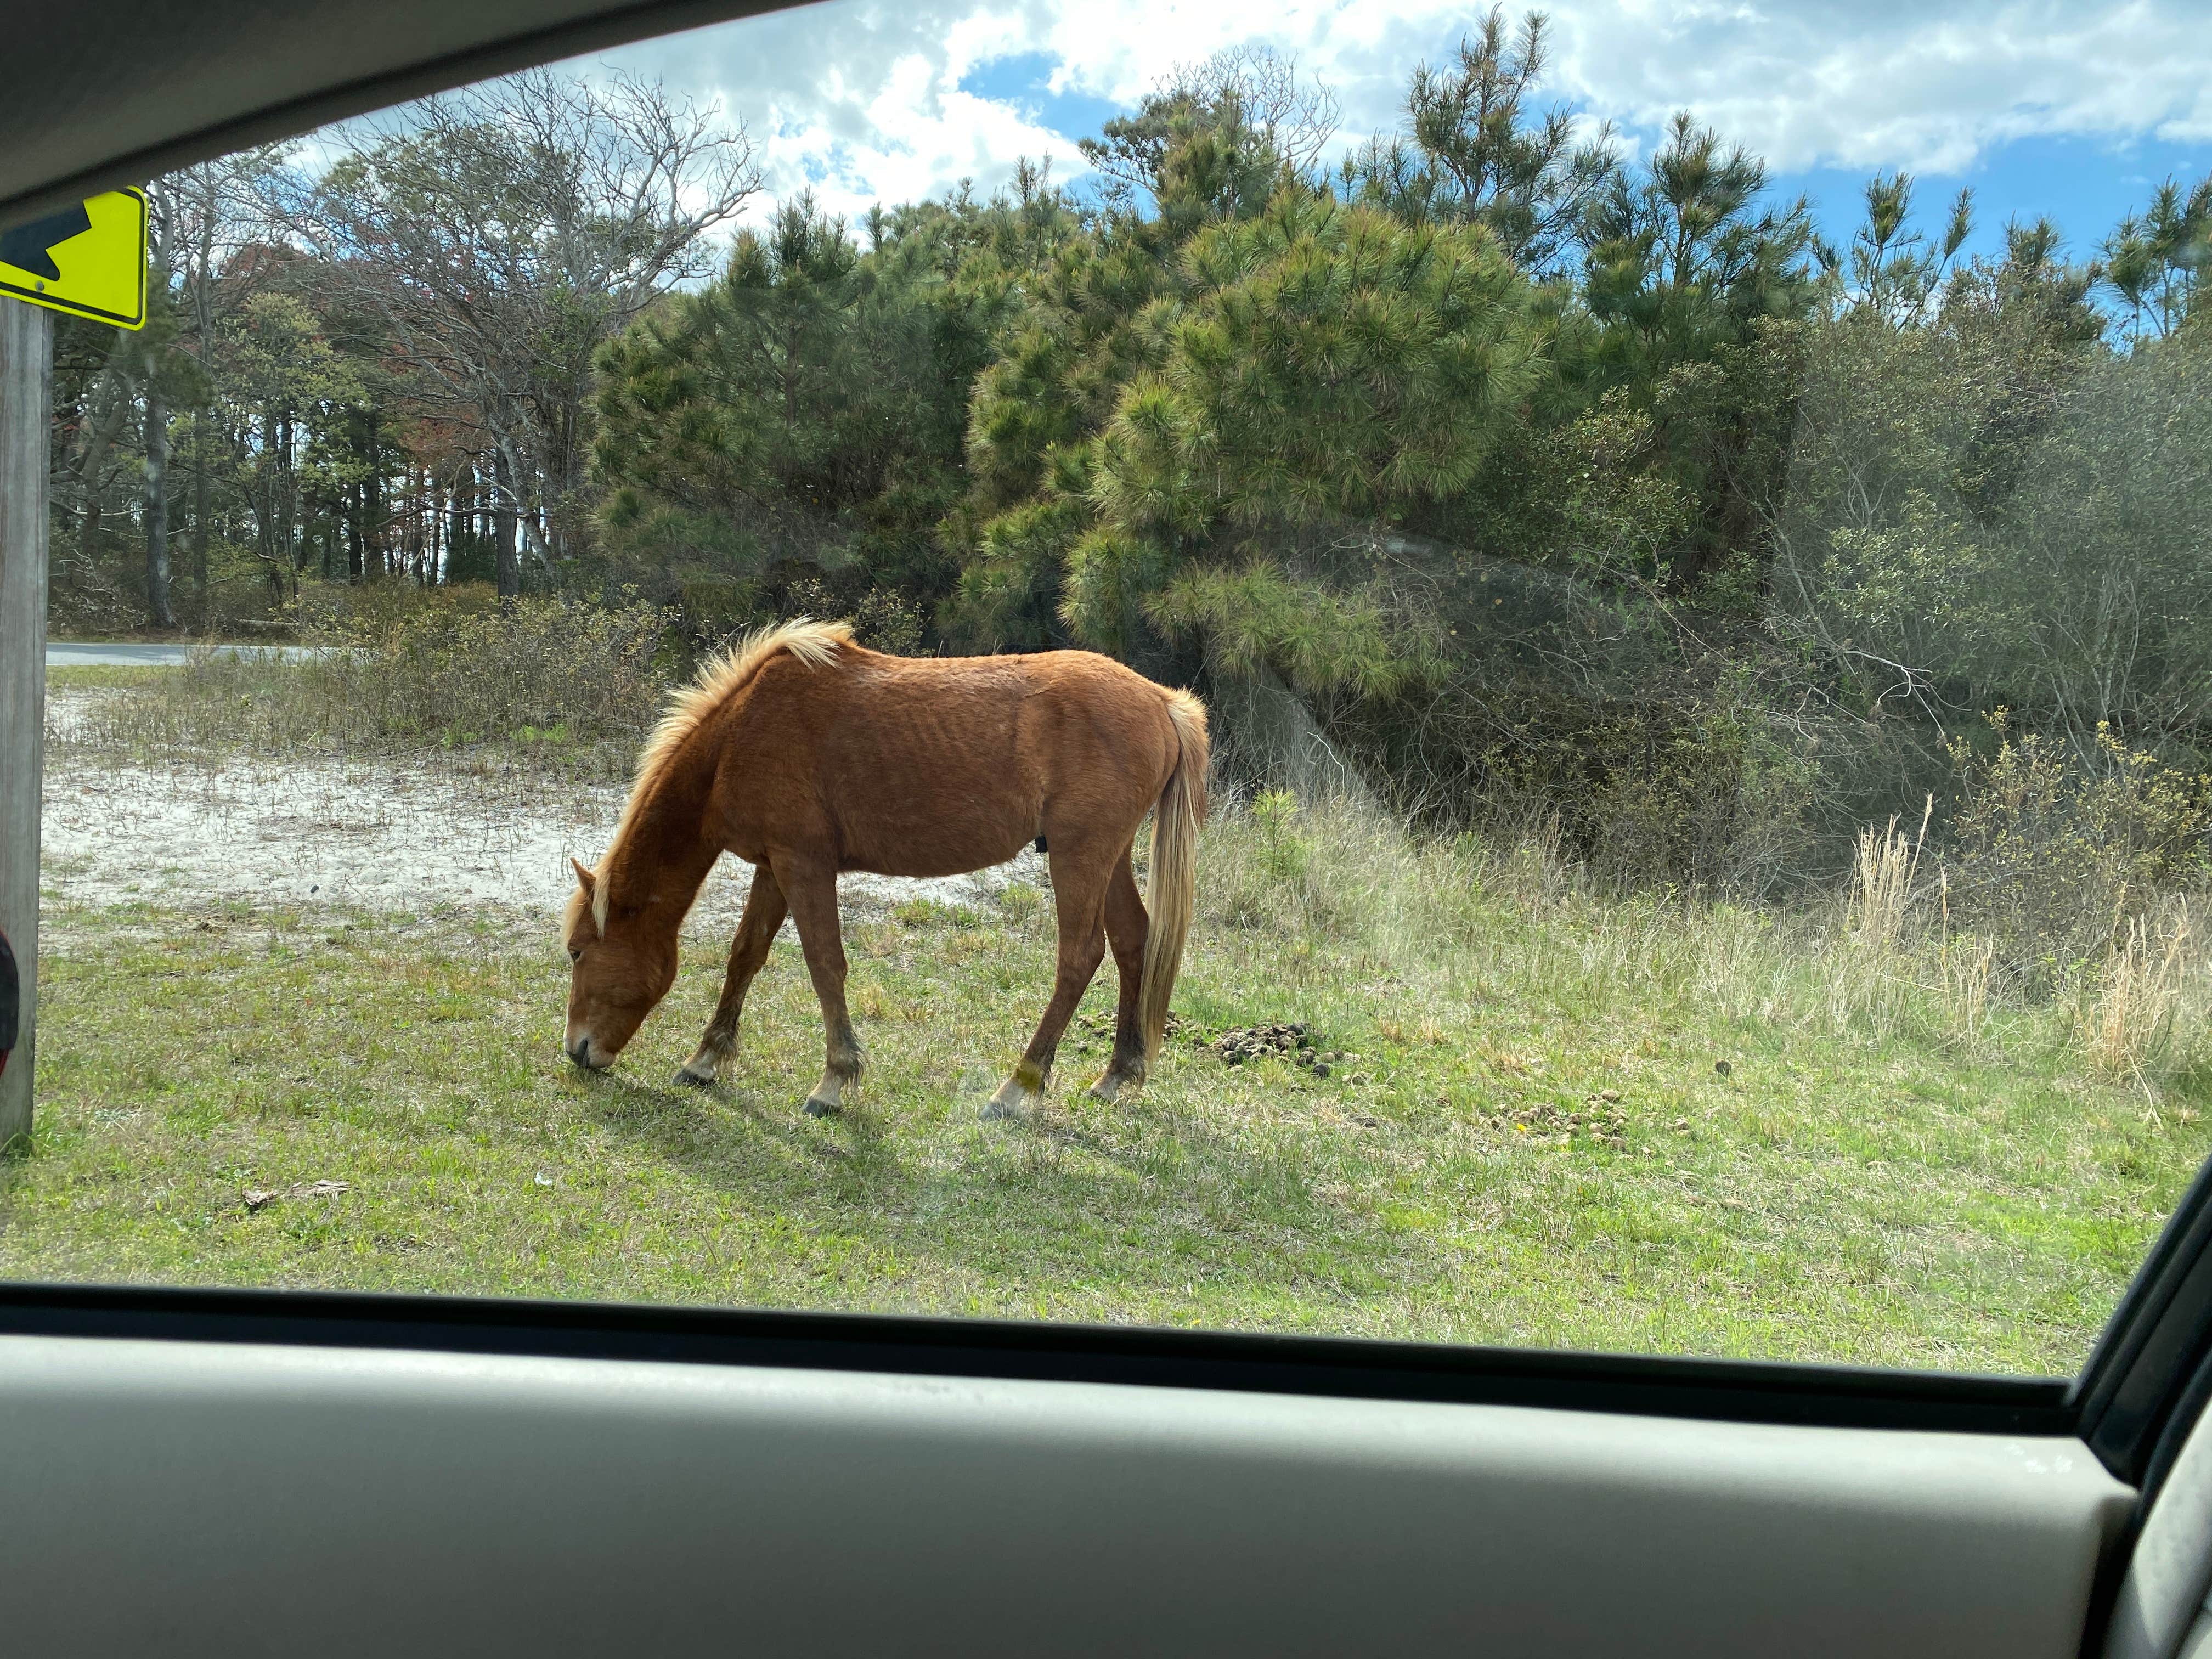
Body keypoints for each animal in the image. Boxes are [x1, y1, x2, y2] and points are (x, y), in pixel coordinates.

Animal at [562, 620, 1208, 1120]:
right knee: (1133, 942)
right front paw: (706, 1059)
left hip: (1081, 856)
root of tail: (1162, 702)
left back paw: (1017, 1087)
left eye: (575, 951)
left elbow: (825, 965)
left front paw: (834, 1080)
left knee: (1079, 959)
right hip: (1109, 857)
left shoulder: (804, 865)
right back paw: (1117, 1075)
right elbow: (746, 955)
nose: (578, 1050)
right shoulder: (774, 867)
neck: (740, 737)